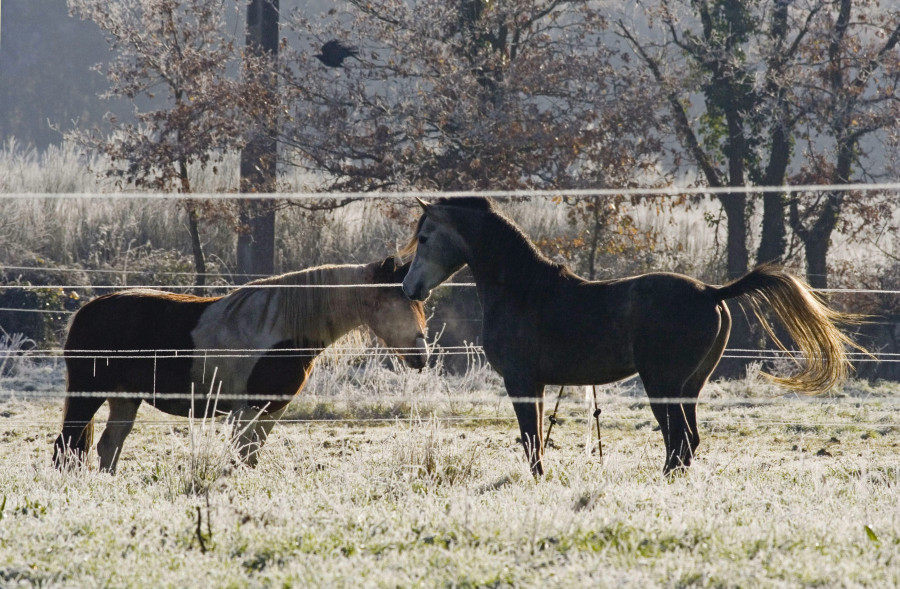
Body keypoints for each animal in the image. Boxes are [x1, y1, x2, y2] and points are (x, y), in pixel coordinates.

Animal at [54, 258, 428, 474]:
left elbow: (251, 458)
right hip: (87, 393)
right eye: (398, 302)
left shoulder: (271, 410)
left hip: (125, 398)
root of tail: (85, 311)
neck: (281, 329)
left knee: (108, 446)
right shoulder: (247, 409)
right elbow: (242, 456)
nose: (422, 356)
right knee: (67, 446)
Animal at [402, 198, 864, 474]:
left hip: (662, 383)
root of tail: (712, 292)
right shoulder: (535, 384)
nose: (410, 288)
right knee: (687, 442)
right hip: (688, 387)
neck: (523, 290)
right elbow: (534, 440)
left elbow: (531, 442)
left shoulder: (520, 381)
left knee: (679, 441)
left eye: (424, 237)